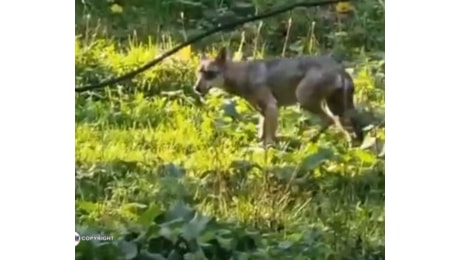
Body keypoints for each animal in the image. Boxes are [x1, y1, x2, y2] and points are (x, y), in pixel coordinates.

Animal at [192, 47, 364, 147]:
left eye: (209, 73)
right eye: (198, 73)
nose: (196, 88)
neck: (244, 75)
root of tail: (340, 68)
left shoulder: (272, 107)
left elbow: (269, 138)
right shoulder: (262, 112)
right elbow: (261, 134)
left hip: (305, 99)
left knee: (329, 120)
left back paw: (309, 141)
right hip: (335, 107)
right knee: (342, 126)